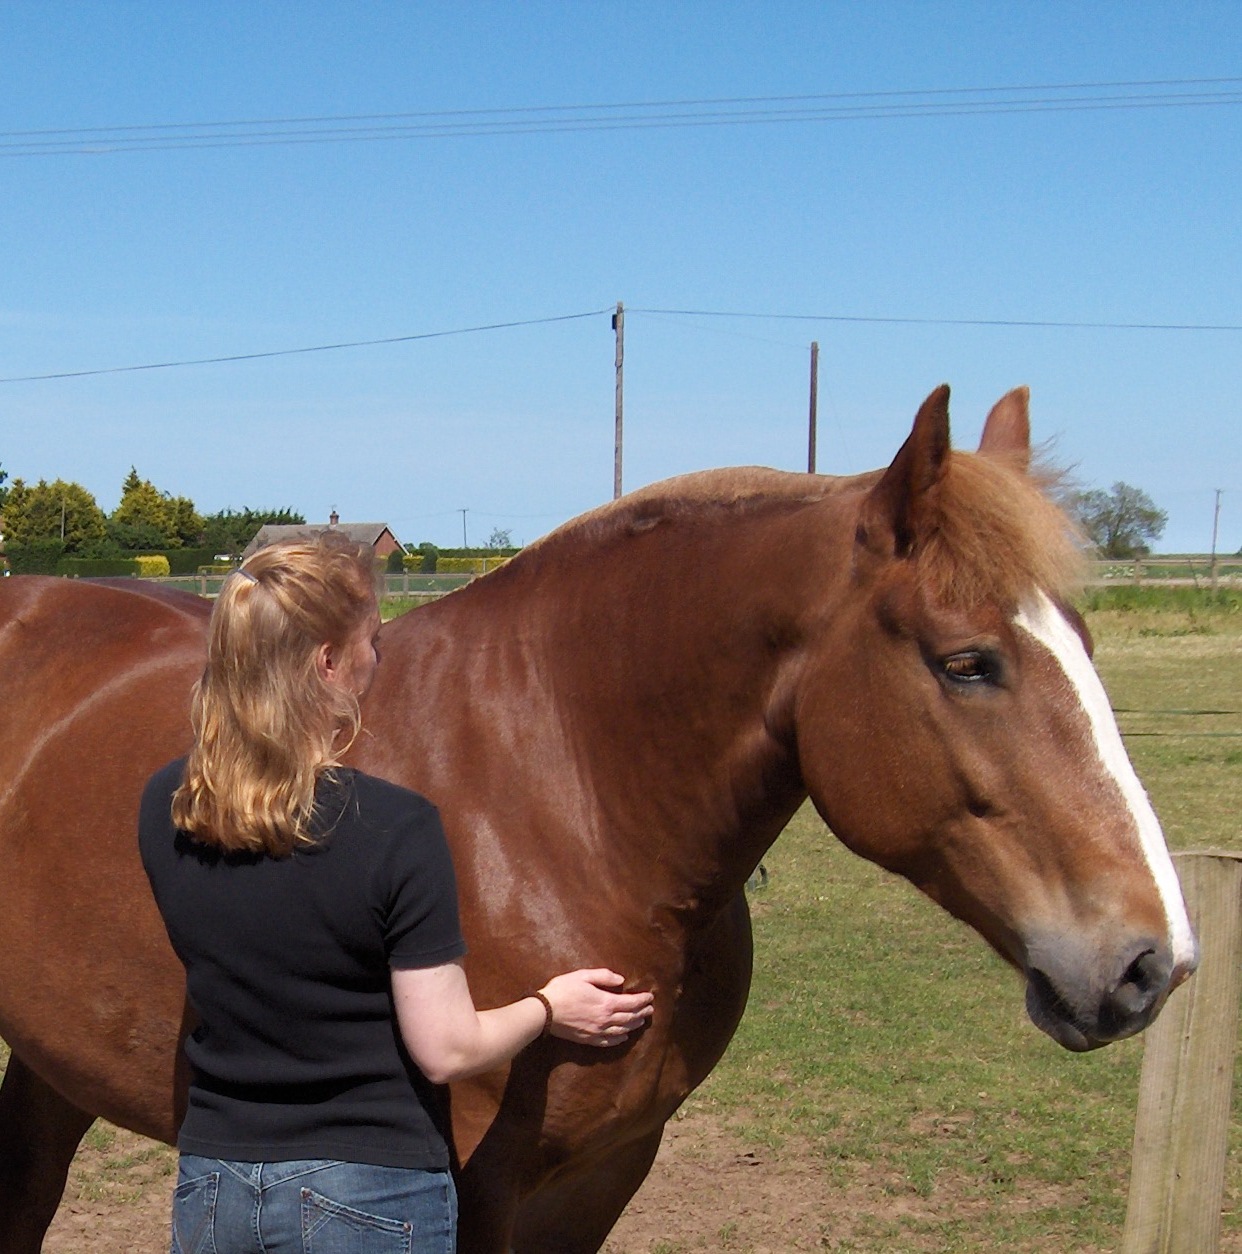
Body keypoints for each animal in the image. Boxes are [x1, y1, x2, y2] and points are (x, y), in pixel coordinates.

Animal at [0, 386, 1194, 1248]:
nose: (1153, 961)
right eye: (967, 663)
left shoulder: (606, 1172)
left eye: (1086, 640)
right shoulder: (472, 1188)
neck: (562, 803)